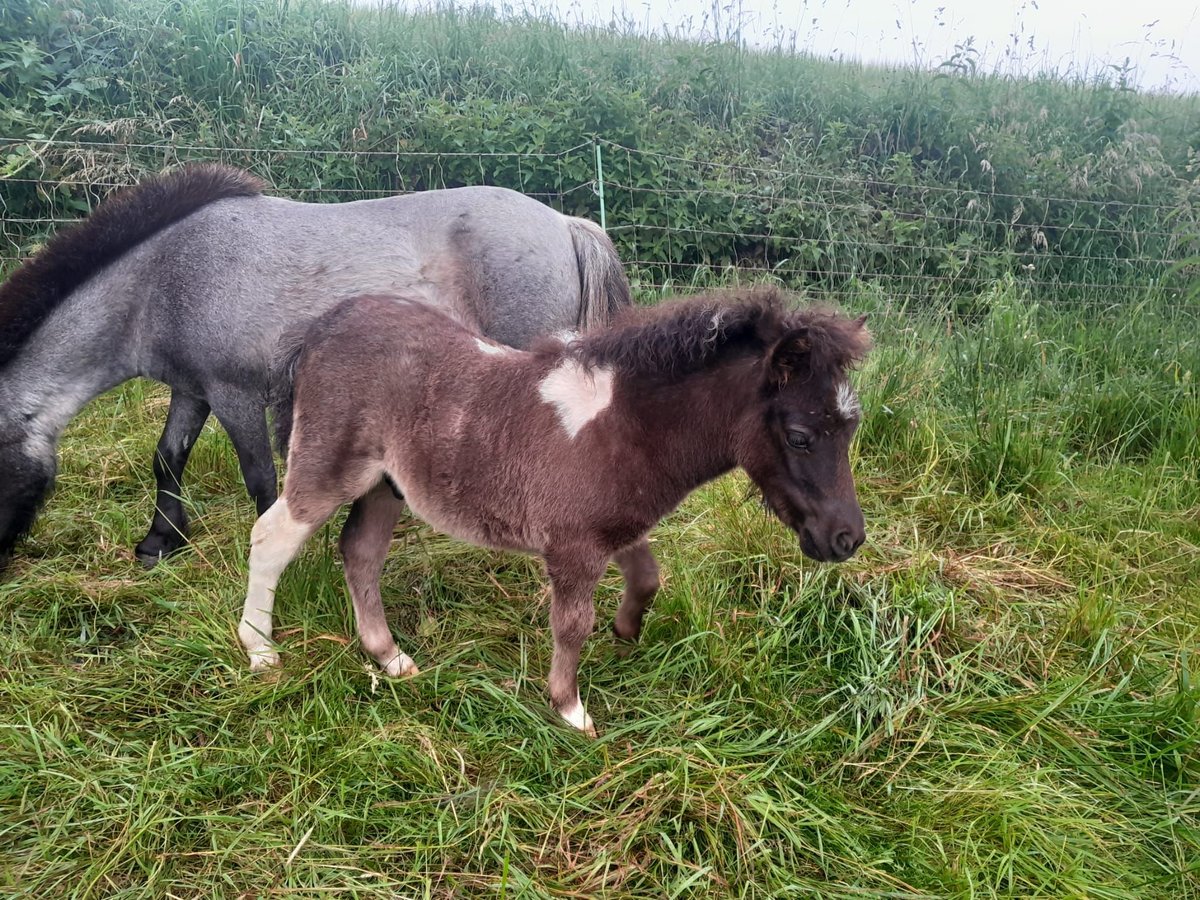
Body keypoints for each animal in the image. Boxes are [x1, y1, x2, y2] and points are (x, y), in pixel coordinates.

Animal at [0, 163, 633, 571]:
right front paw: (160, 542)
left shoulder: (235, 394)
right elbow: (167, 457)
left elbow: (261, 479)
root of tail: (564, 223)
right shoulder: (192, 390)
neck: (164, 278)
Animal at [238, 286, 873, 734]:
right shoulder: (574, 546)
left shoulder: (616, 528)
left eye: (851, 427)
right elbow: (571, 624)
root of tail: (324, 326)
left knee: (360, 553)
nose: (846, 538)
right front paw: (570, 709)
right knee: (272, 536)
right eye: (799, 436)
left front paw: (626, 632)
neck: (626, 426)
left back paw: (390, 657)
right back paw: (261, 652)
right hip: (330, 466)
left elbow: (647, 579)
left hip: (385, 486)